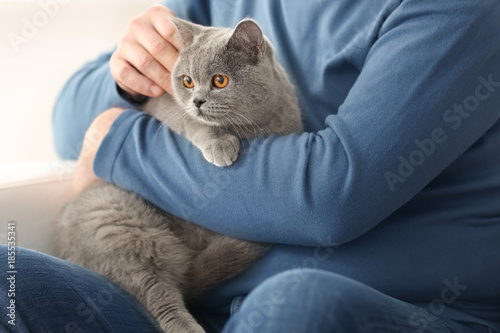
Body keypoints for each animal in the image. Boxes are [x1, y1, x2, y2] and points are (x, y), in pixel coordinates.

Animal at [56, 17, 302, 332]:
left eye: (220, 80)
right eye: (187, 81)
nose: (197, 100)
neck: (251, 128)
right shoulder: (170, 109)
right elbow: (197, 124)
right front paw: (220, 145)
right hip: (115, 219)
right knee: (157, 294)